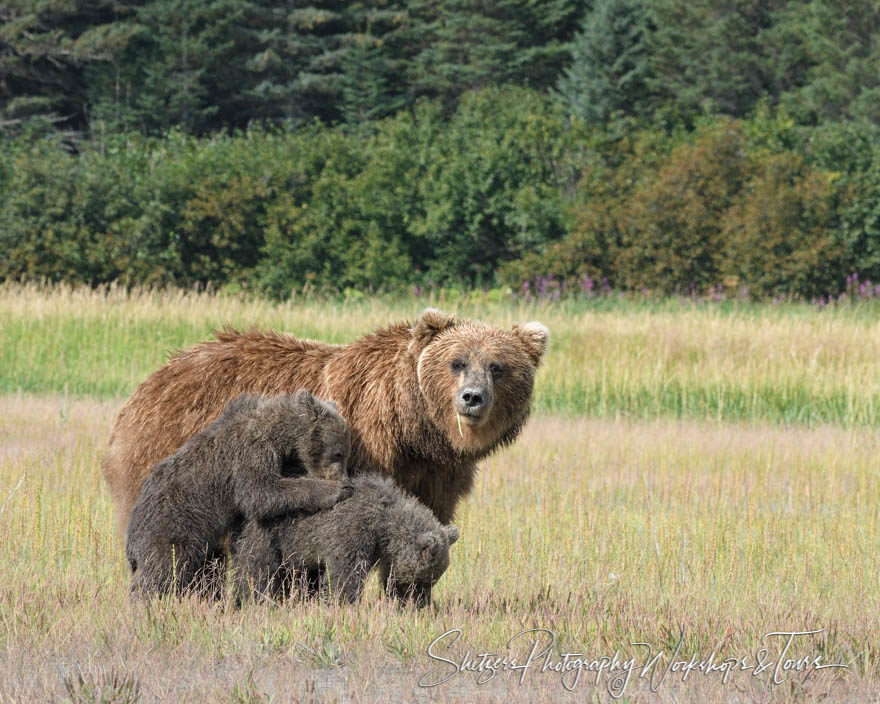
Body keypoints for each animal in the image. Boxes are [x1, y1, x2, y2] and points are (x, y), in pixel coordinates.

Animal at [99, 308, 548, 532]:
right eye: (457, 362)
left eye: (498, 367)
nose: (472, 398)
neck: (411, 426)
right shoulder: (362, 445)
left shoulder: (437, 470)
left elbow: (433, 511)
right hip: (168, 450)